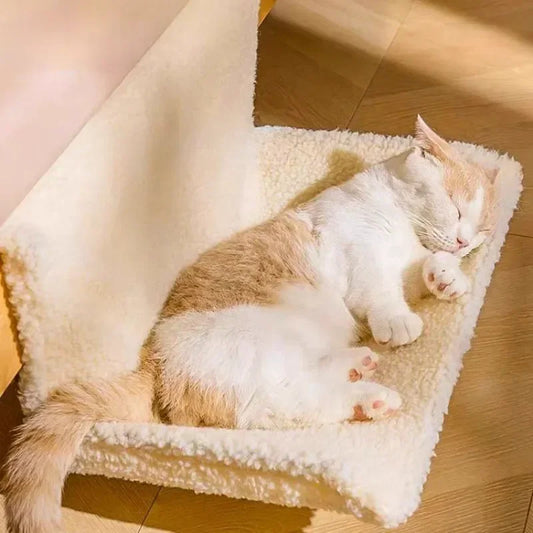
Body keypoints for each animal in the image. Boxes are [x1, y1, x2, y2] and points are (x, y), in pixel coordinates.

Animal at [2, 114, 496, 528]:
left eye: (480, 235)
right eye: (455, 207)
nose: (462, 242)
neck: (398, 220)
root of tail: (154, 362)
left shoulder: (407, 266)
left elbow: (421, 271)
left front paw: (447, 278)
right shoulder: (363, 255)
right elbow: (381, 292)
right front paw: (399, 321)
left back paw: (358, 367)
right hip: (258, 354)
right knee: (285, 406)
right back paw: (370, 398)